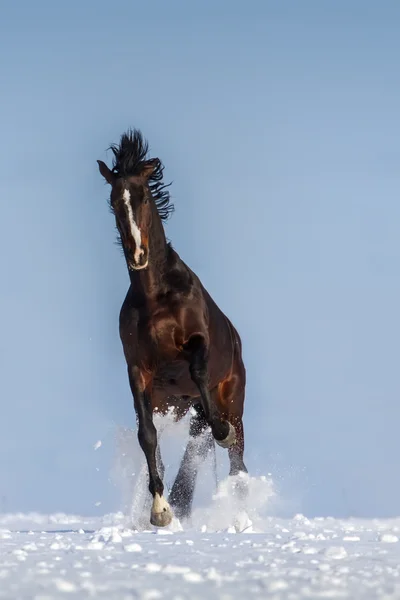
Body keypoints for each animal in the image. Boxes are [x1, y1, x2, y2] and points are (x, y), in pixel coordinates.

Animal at [97, 129, 247, 528]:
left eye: (144, 195)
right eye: (114, 202)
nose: (137, 255)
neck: (155, 296)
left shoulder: (197, 345)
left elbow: (198, 371)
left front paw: (222, 433)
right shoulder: (139, 372)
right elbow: (147, 436)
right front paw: (160, 510)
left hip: (232, 399)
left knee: (237, 462)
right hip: (175, 404)